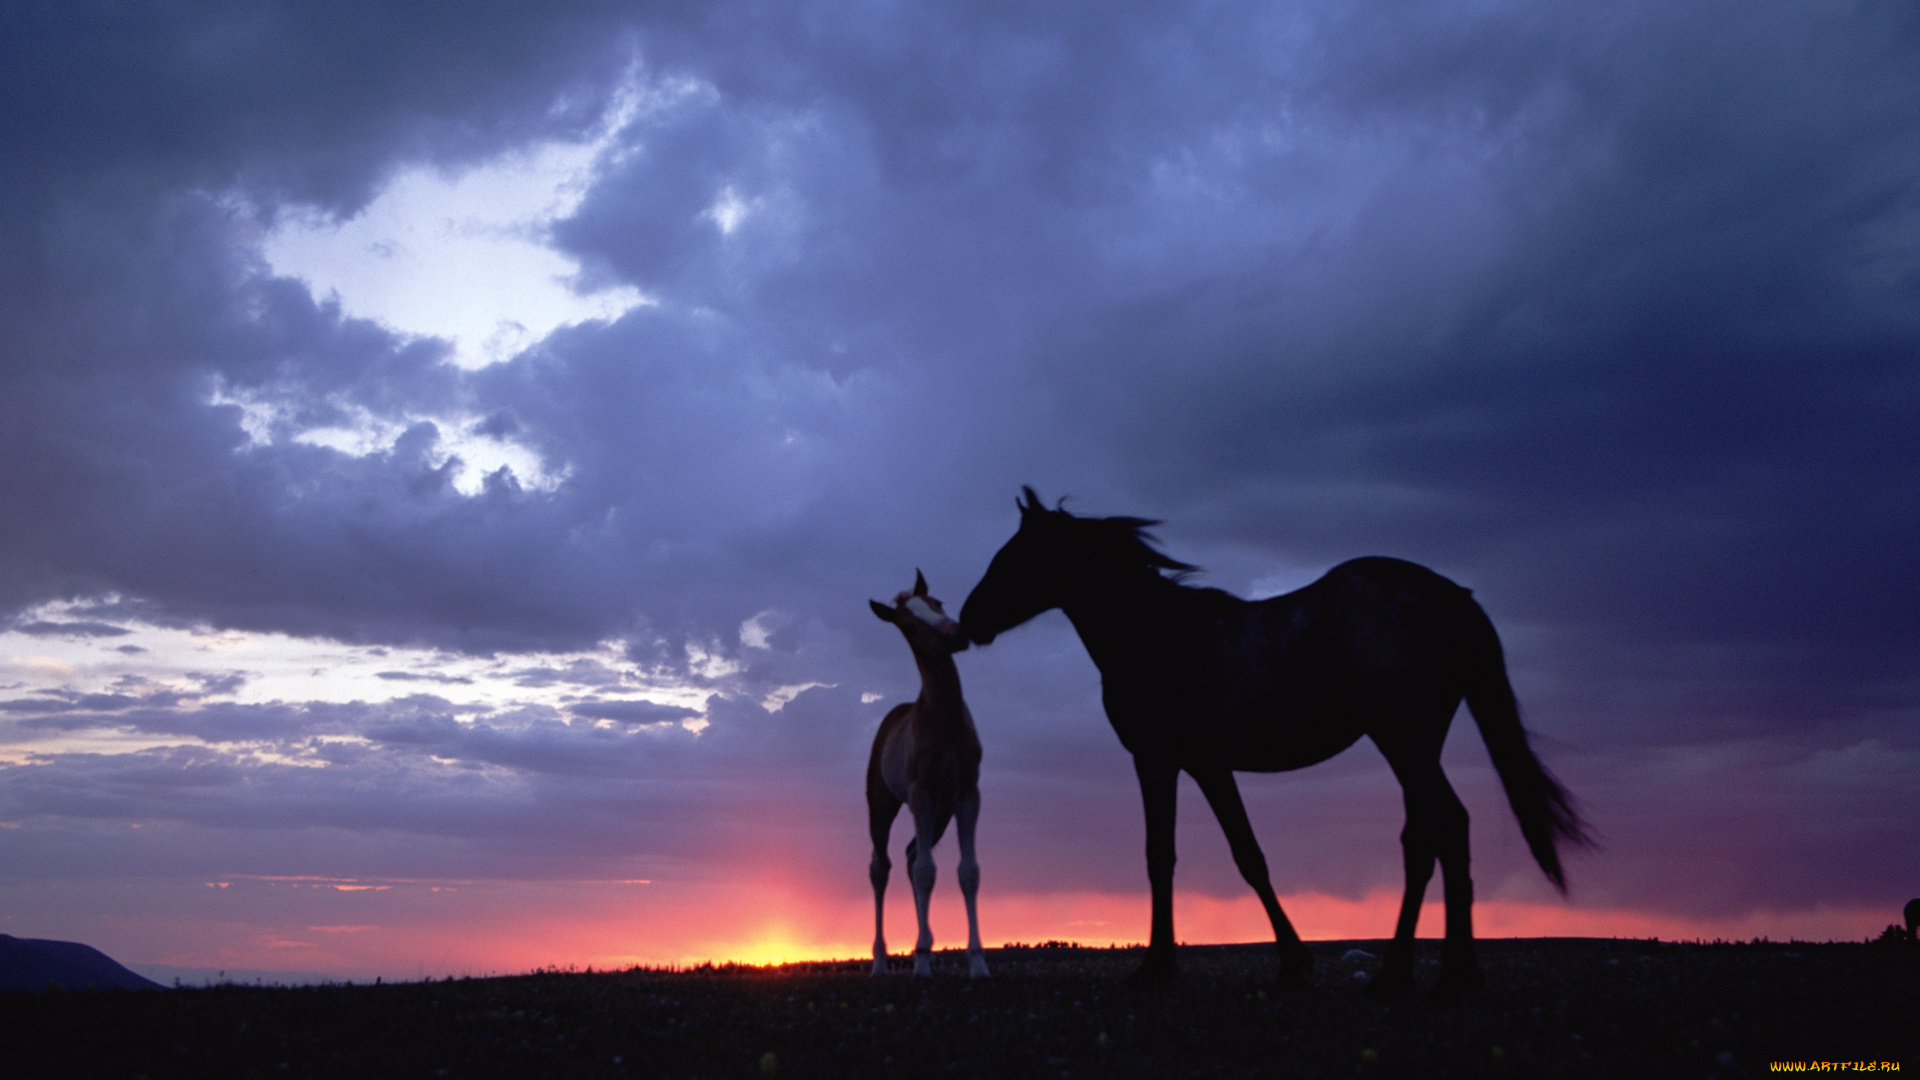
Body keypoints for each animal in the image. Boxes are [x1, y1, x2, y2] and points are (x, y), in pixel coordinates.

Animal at [871, 572, 990, 976]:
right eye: (907, 624)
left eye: (937, 602)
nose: (956, 634)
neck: (945, 720)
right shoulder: (920, 794)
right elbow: (926, 871)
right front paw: (921, 965)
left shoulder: (967, 794)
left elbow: (967, 872)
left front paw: (978, 964)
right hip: (883, 803)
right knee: (882, 867)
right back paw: (882, 963)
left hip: (940, 812)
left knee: (910, 855)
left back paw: (924, 947)